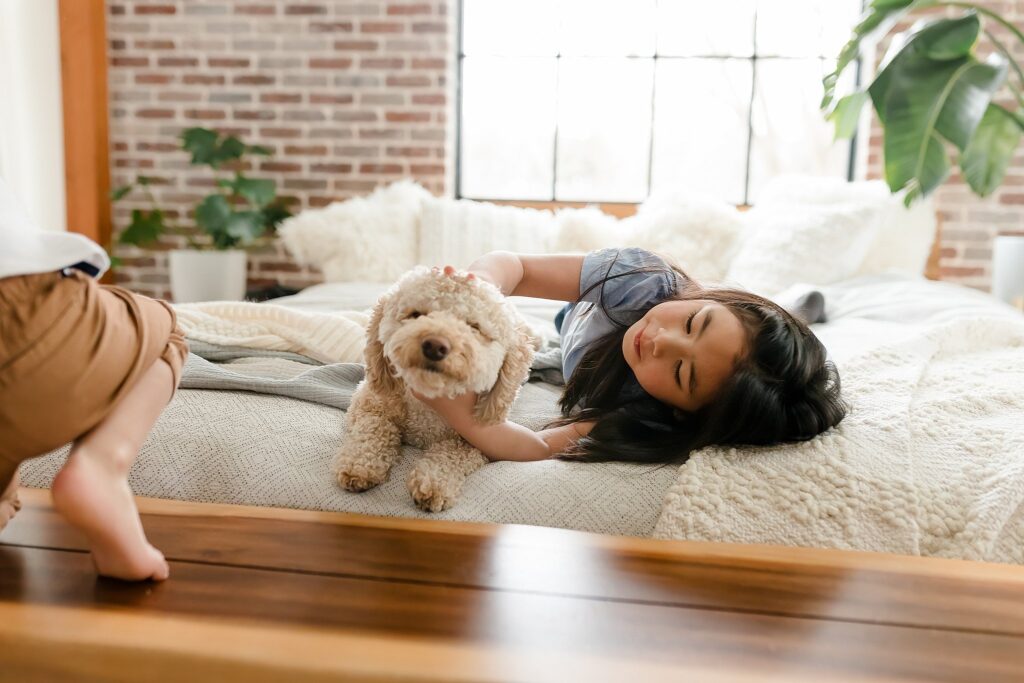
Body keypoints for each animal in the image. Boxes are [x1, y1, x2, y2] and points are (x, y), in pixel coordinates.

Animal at [335, 266, 540, 511]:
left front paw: (433, 482)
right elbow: (375, 428)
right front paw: (360, 464)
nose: (435, 345)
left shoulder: (481, 441)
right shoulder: (367, 405)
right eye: (416, 314)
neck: (427, 409)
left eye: (474, 327)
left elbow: (451, 454)